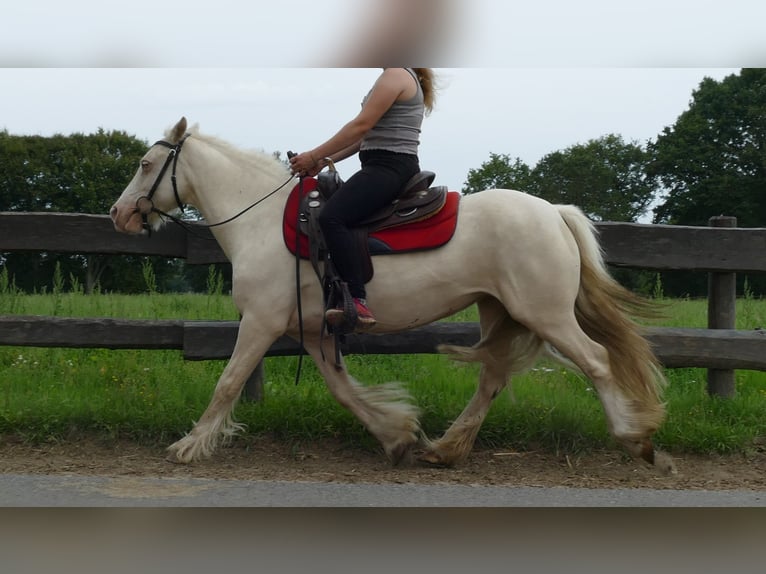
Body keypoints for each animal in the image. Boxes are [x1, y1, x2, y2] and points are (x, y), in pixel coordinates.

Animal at [109, 118, 680, 476]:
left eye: (144, 164)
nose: (120, 214)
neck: (261, 222)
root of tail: (553, 213)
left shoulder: (261, 323)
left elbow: (228, 383)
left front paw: (189, 446)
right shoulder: (311, 330)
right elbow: (343, 390)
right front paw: (397, 434)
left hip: (545, 314)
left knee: (598, 361)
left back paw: (639, 442)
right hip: (500, 310)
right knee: (493, 375)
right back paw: (444, 450)